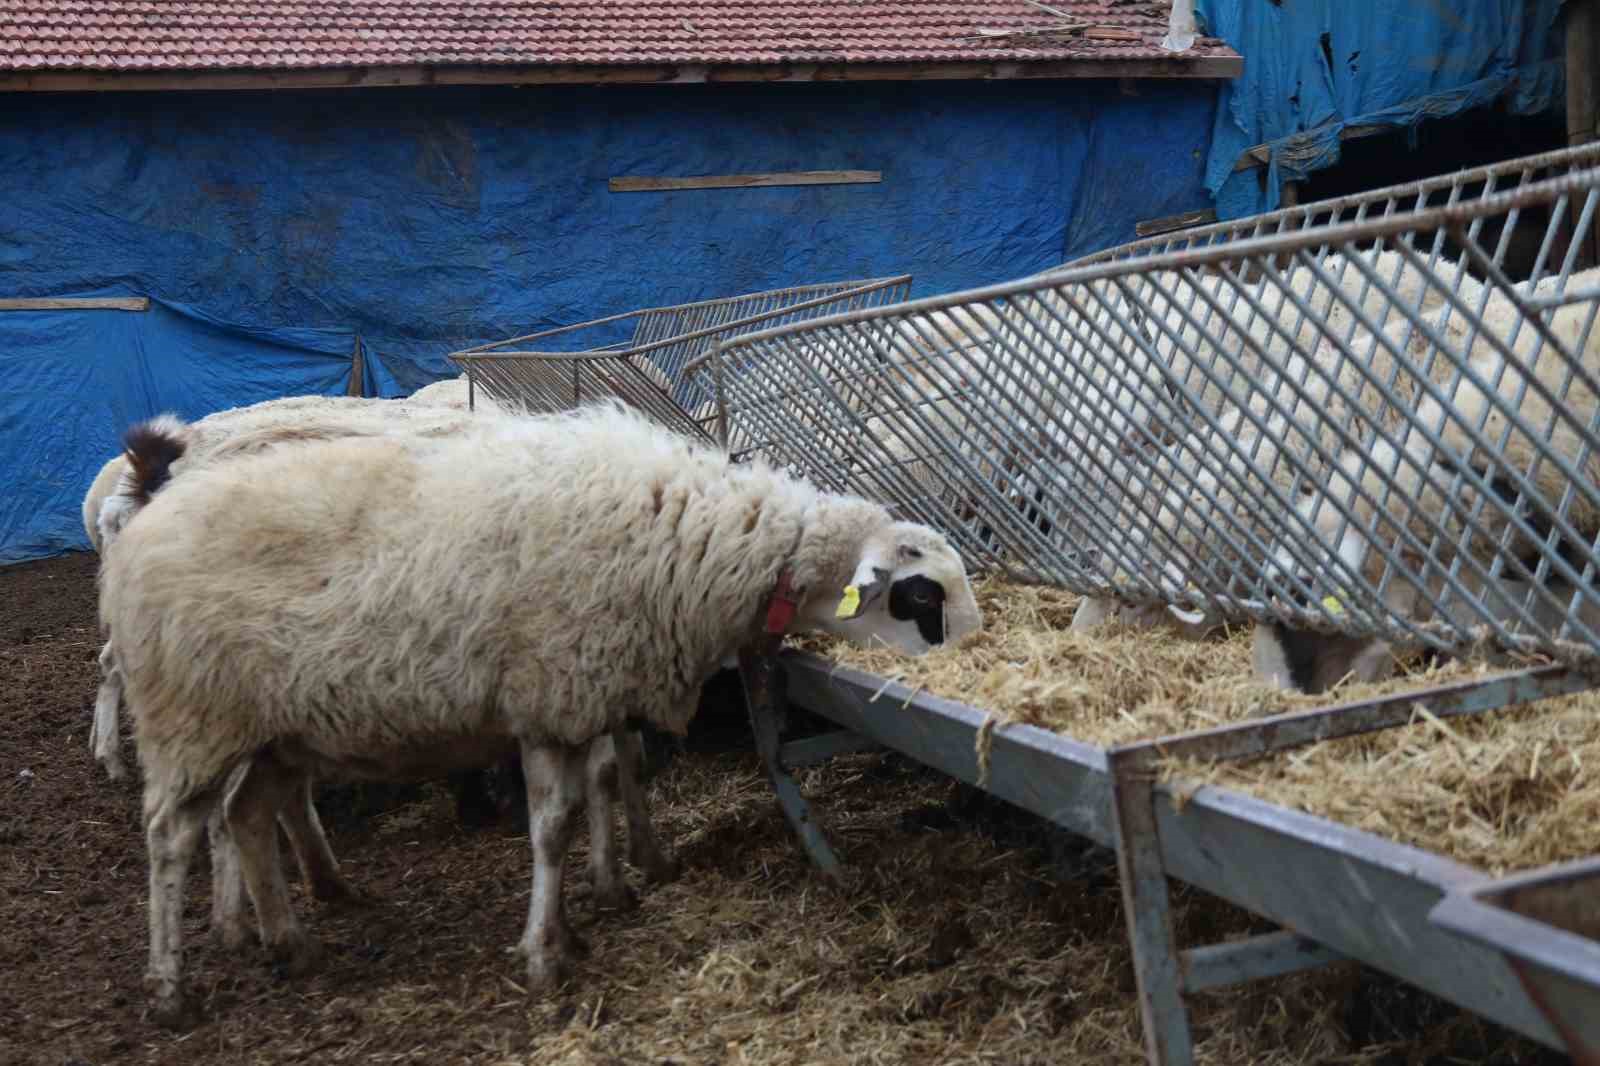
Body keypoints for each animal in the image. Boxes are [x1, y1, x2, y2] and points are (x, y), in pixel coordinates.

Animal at [106, 398, 979, 1024]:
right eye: (922, 595)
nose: (974, 652)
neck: (704, 542)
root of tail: (141, 526)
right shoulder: (552, 695)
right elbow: (552, 827)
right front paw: (545, 953)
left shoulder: (586, 695)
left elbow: (601, 784)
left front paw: (593, 907)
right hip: (190, 716)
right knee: (170, 838)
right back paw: (171, 988)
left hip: (268, 729)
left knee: (250, 816)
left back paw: (290, 943)